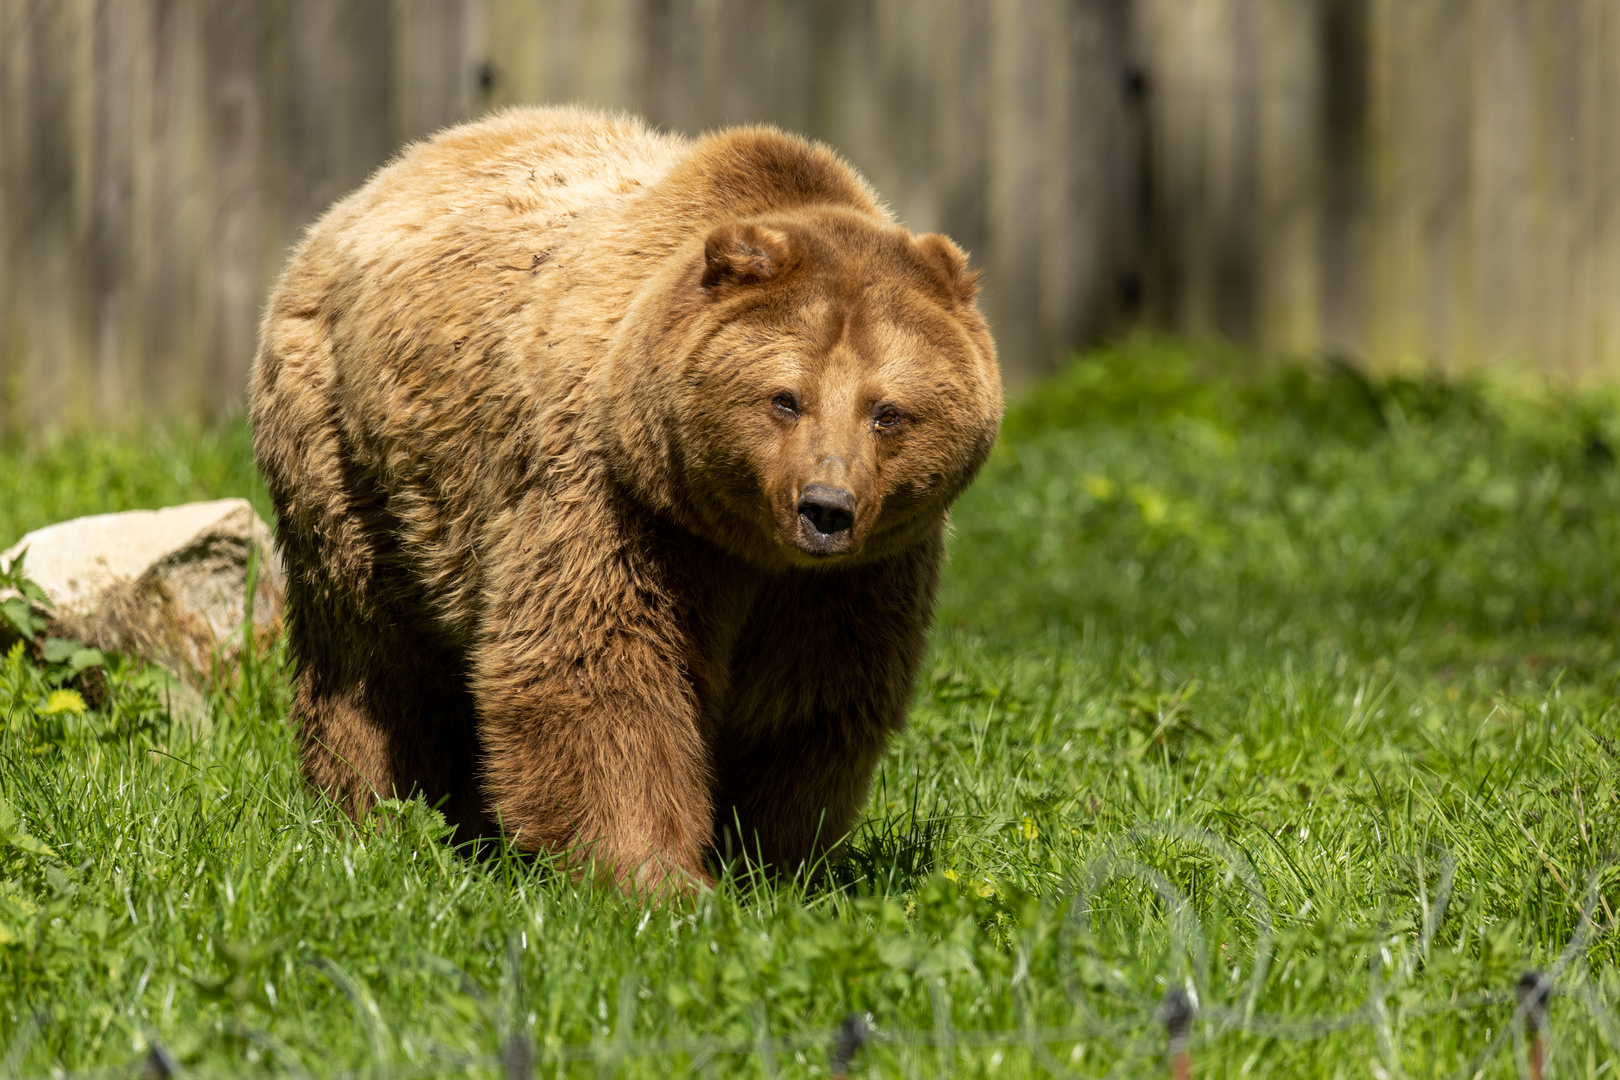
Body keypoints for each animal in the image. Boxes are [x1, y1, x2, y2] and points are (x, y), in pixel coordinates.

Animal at [249, 105, 997, 893]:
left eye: (888, 411)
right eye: (785, 398)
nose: (825, 508)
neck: (741, 540)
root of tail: (381, 180)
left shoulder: (856, 573)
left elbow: (809, 702)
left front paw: (768, 861)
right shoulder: (620, 500)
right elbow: (600, 671)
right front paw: (653, 873)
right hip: (352, 453)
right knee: (369, 652)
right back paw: (373, 810)